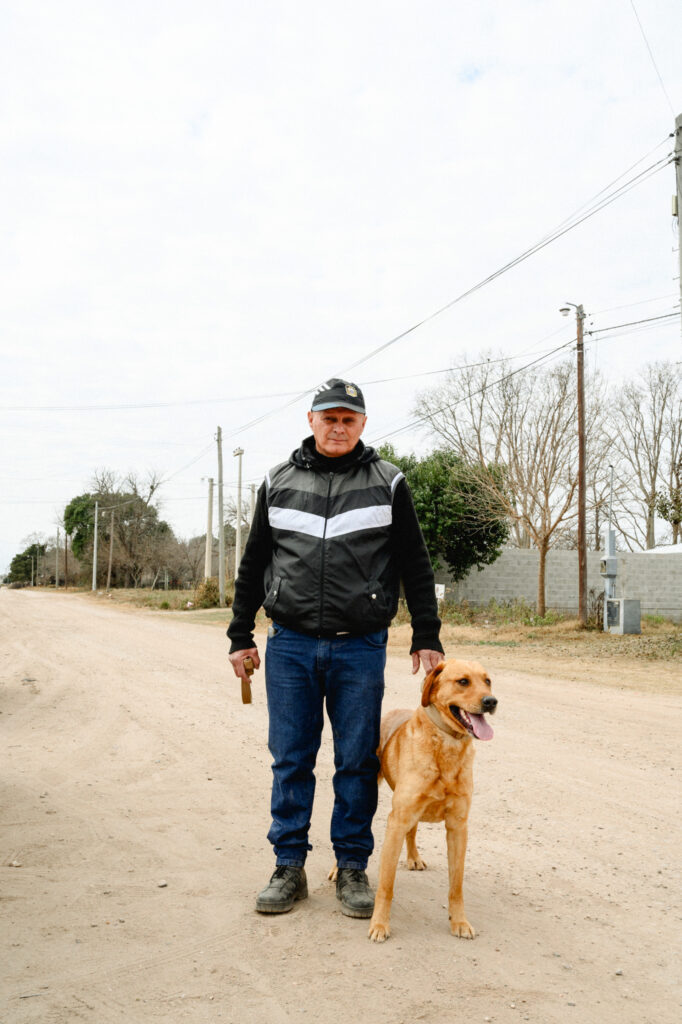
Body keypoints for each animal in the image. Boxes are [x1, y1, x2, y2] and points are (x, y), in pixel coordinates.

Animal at [366, 659, 493, 937]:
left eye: (488, 681)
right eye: (463, 681)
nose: (492, 701)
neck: (446, 746)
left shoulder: (458, 826)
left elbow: (456, 886)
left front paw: (459, 922)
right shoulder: (396, 821)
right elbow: (386, 885)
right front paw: (379, 924)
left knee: (412, 832)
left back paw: (413, 857)